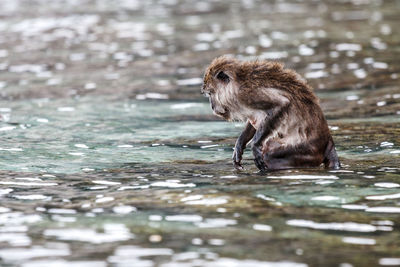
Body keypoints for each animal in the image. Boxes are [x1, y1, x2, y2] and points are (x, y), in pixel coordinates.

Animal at [202, 56, 340, 172]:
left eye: (210, 94)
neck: (237, 82)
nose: (212, 106)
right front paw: (239, 146)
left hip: (306, 150)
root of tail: (328, 141)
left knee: (270, 152)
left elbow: (281, 103)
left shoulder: (247, 93)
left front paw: (255, 146)